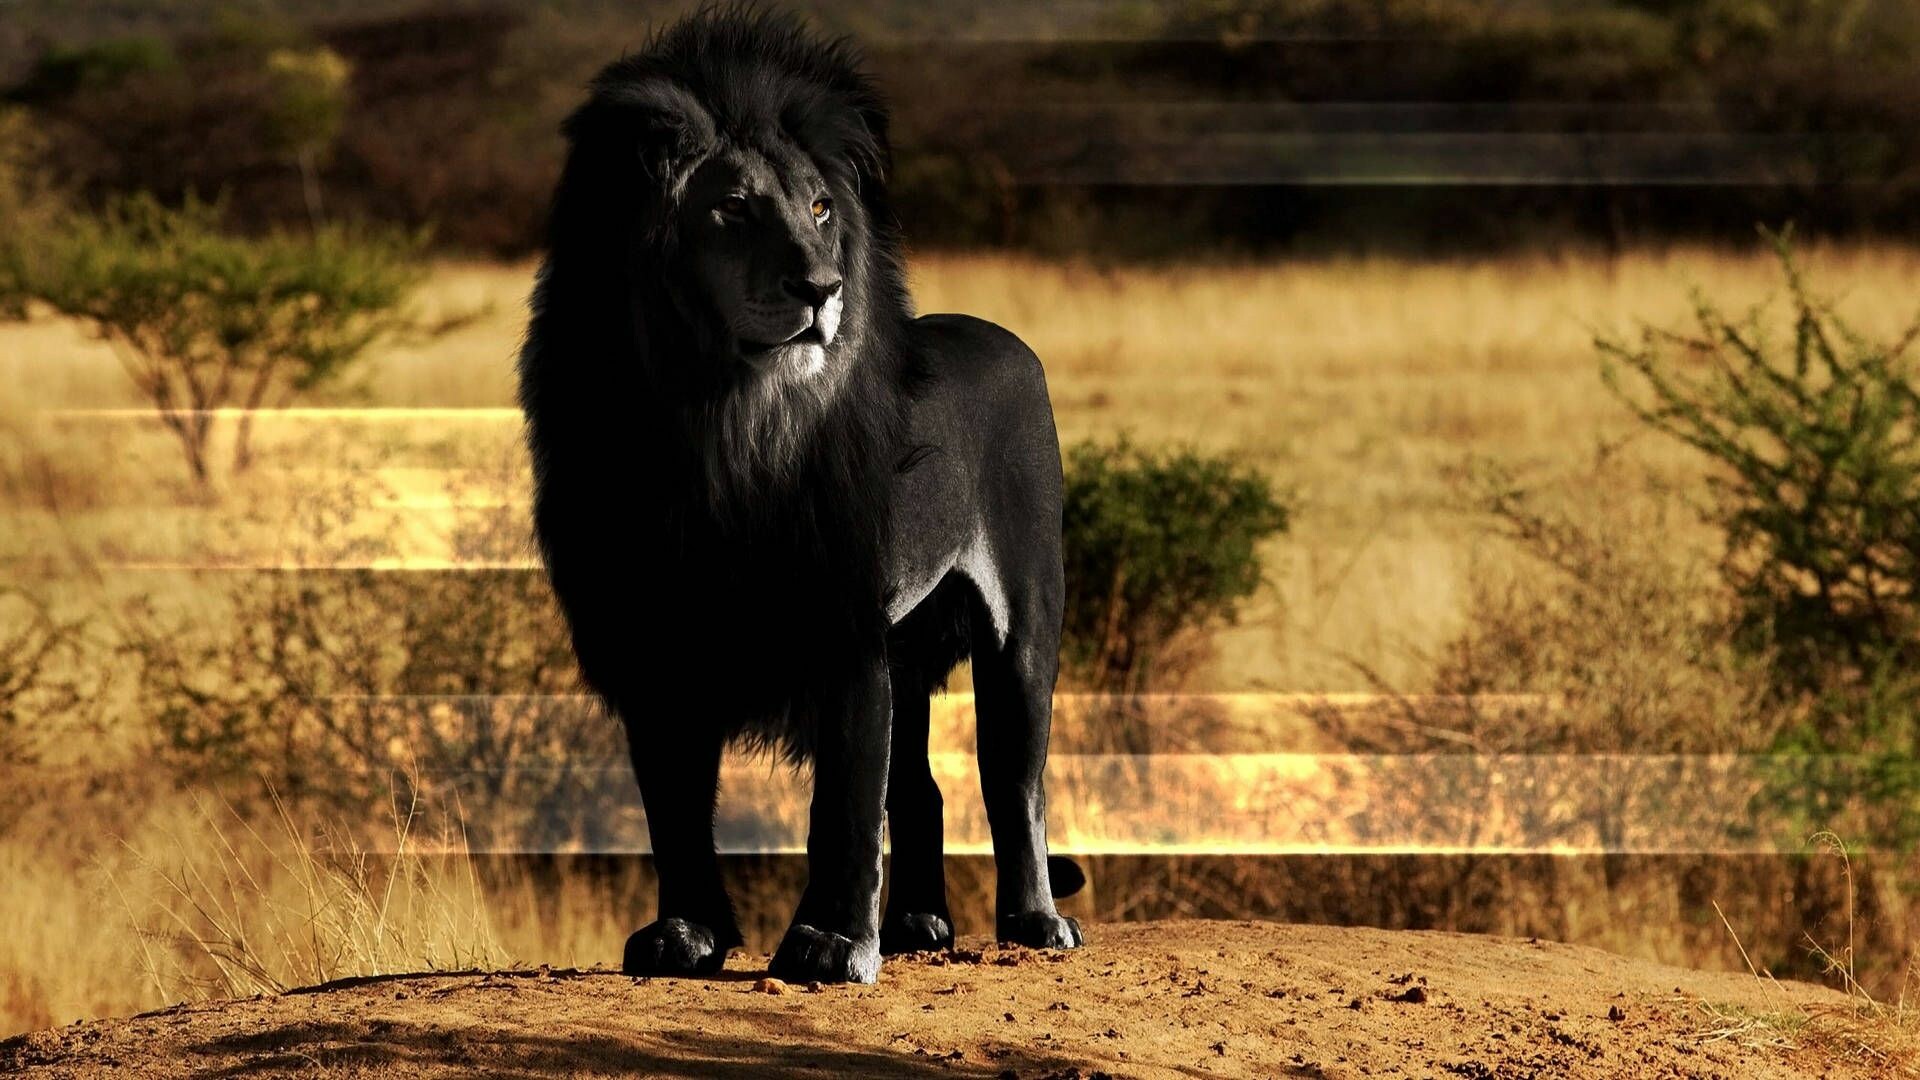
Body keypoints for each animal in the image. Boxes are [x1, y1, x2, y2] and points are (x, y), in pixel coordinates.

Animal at [516, 8, 1082, 984]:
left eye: (821, 209)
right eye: (733, 208)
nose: (823, 287)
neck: (717, 423)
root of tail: (1005, 337)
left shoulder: (843, 624)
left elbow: (843, 805)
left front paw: (829, 945)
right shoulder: (651, 639)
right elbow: (674, 808)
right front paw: (687, 936)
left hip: (1022, 620)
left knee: (1015, 778)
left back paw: (1032, 922)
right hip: (910, 646)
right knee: (923, 788)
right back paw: (919, 926)